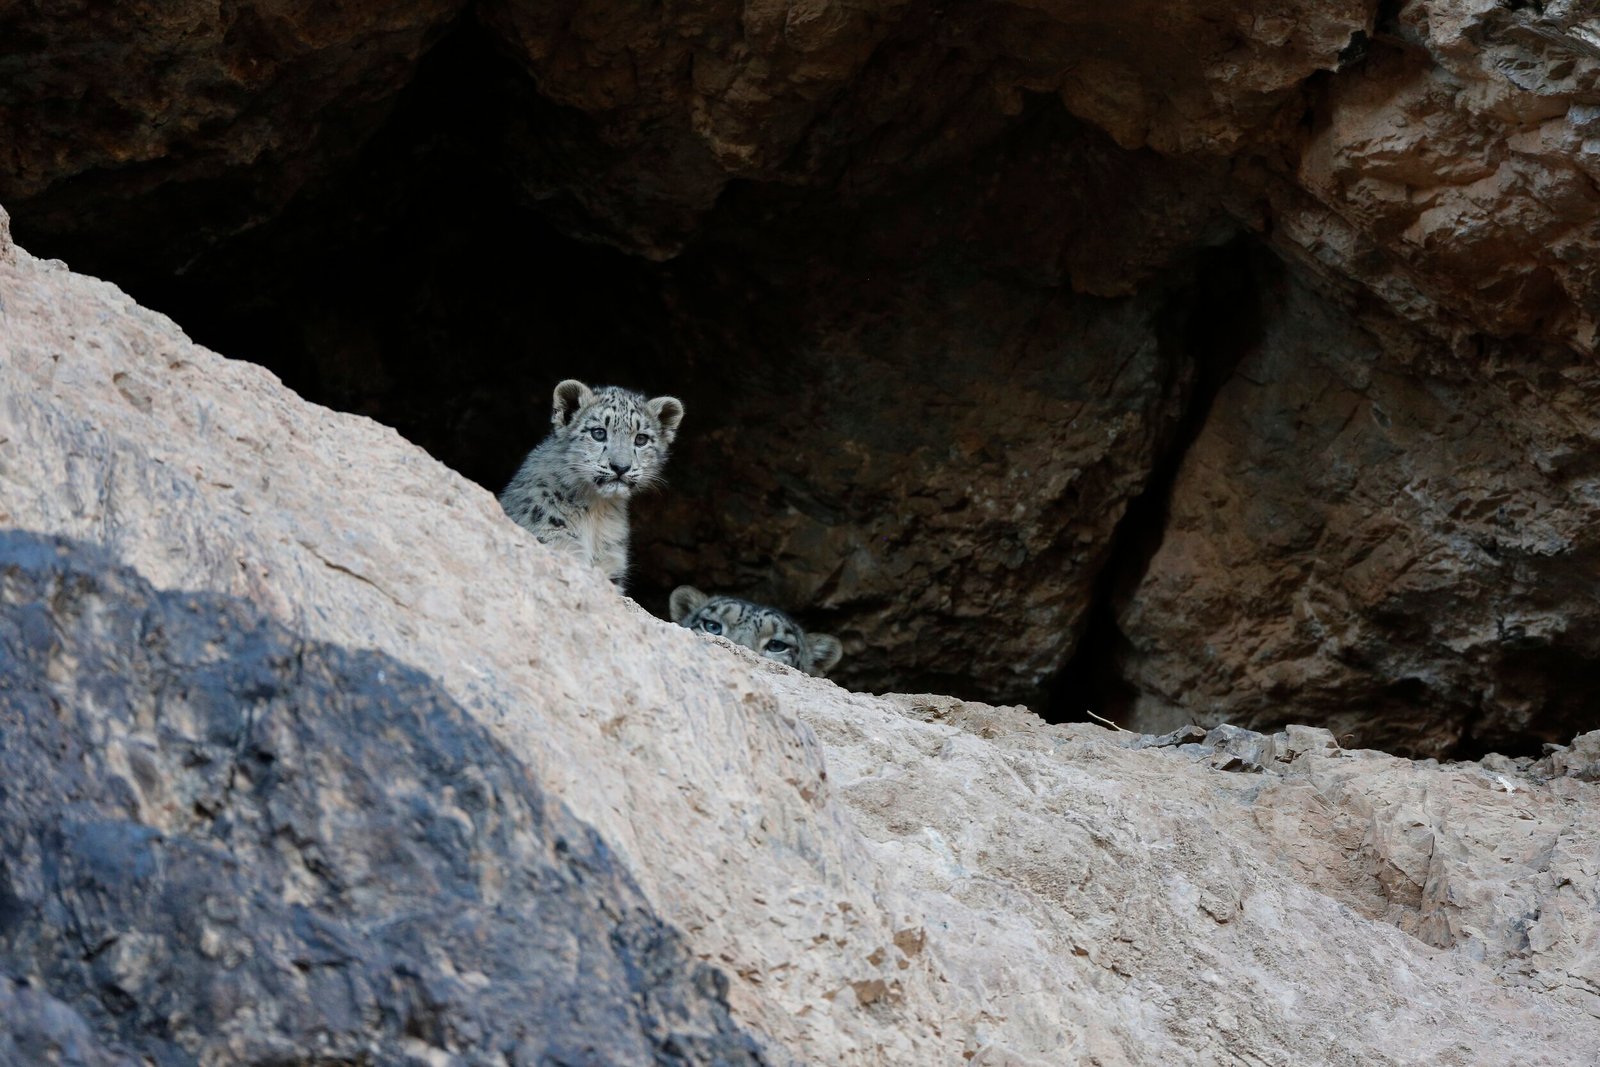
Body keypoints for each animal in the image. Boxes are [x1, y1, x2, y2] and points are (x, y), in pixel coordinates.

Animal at [499, 380, 684, 587]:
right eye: (598, 433)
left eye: (641, 439)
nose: (620, 467)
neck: (596, 511)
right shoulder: (557, 542)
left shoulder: (611, 563)